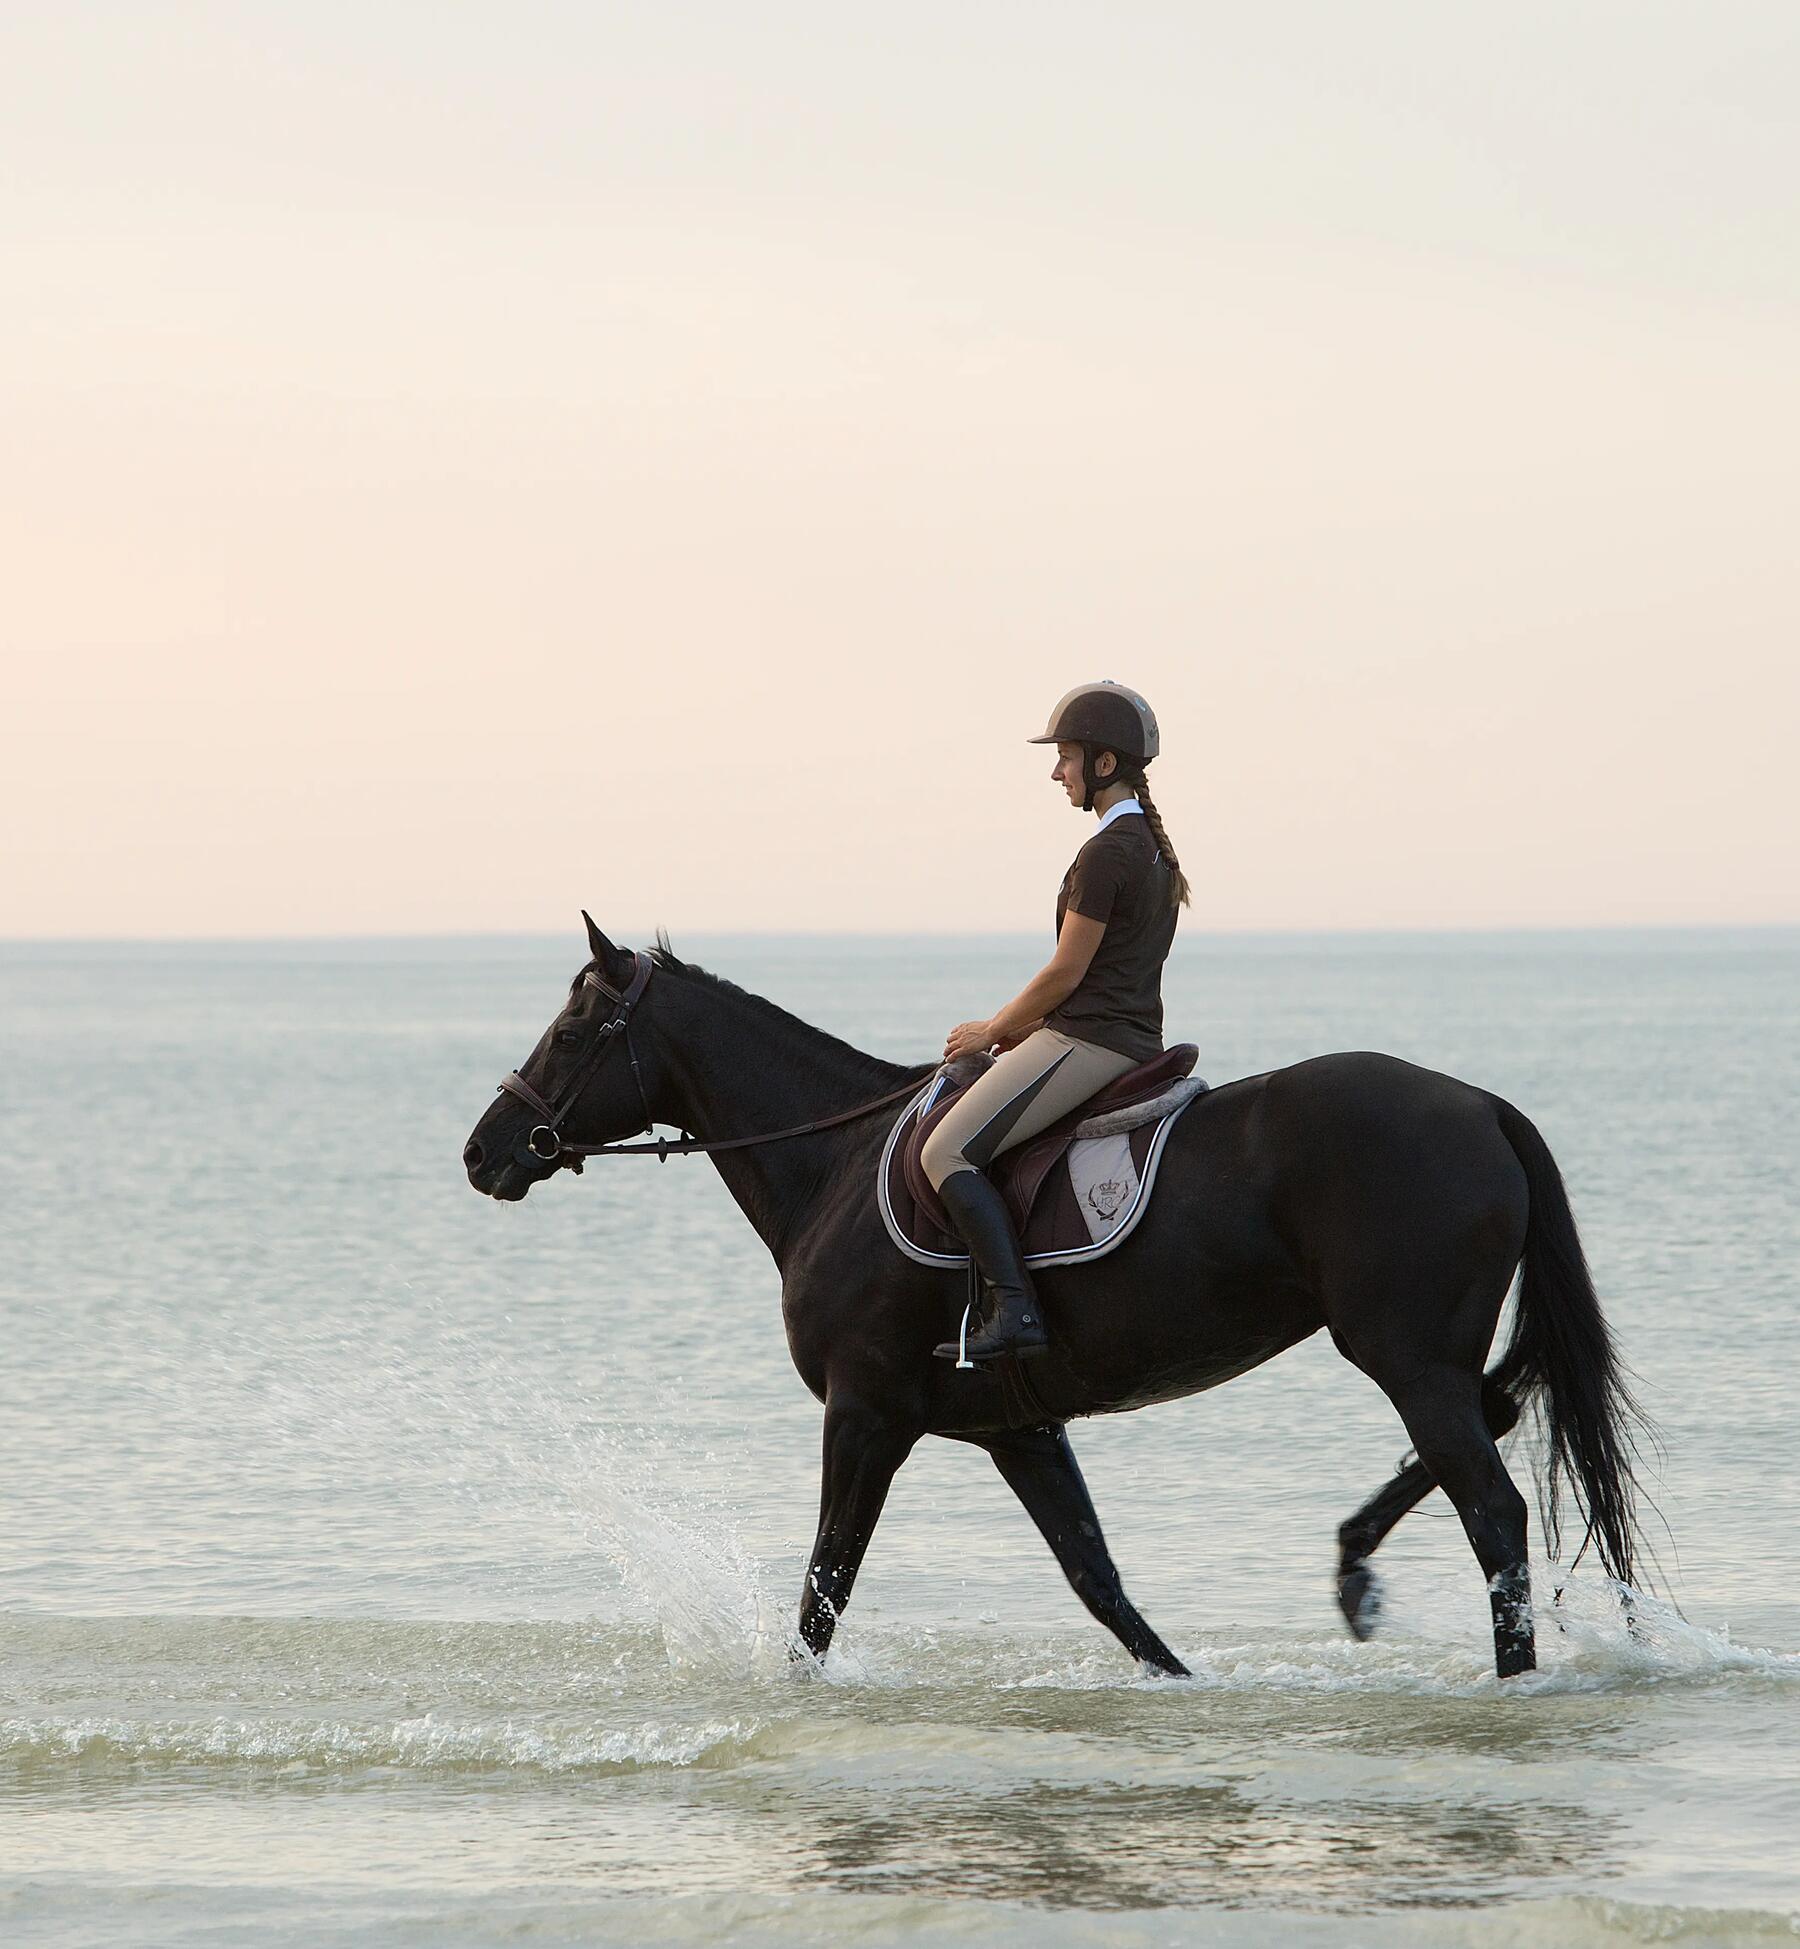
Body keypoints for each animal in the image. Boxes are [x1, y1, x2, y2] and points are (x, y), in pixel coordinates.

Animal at [459, 919, 1644, 1683]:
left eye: (573, 1032)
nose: (485, 1150)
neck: (832, 1163)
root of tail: (1478, 1103)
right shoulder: (1019, 1429)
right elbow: (1099, 1582)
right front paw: (1179, 1682)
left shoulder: (866, 1413)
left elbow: (823, 1589)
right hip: (1425, 1354)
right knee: (1495, 1415)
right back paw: (1356, 1563)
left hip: (1404, 1354)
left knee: (1493, 1508)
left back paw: (1500, 1668)